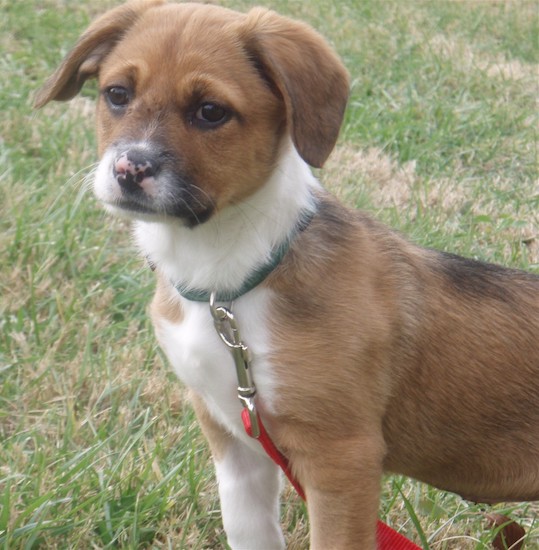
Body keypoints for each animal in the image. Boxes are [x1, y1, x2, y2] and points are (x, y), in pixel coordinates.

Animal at [37, 1, 539, 550]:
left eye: (210, 111)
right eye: (117, 94)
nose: (129, 169)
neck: (226, 285)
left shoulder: (340, 459)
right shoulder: (235, 444)